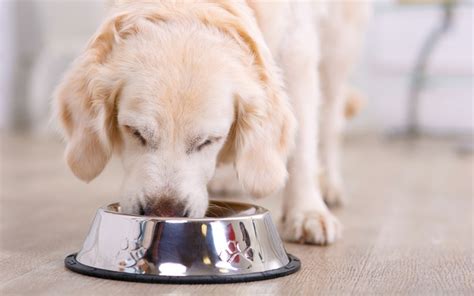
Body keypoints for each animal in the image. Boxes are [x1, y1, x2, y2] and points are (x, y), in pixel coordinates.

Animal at [52, 0, 370, 245]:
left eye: (208, 141)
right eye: (135, 132)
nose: (164, 212)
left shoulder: (298, 48)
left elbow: (303, 144)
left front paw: (307, 212)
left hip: (339, 43)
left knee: (330, 120)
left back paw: (329, 184)